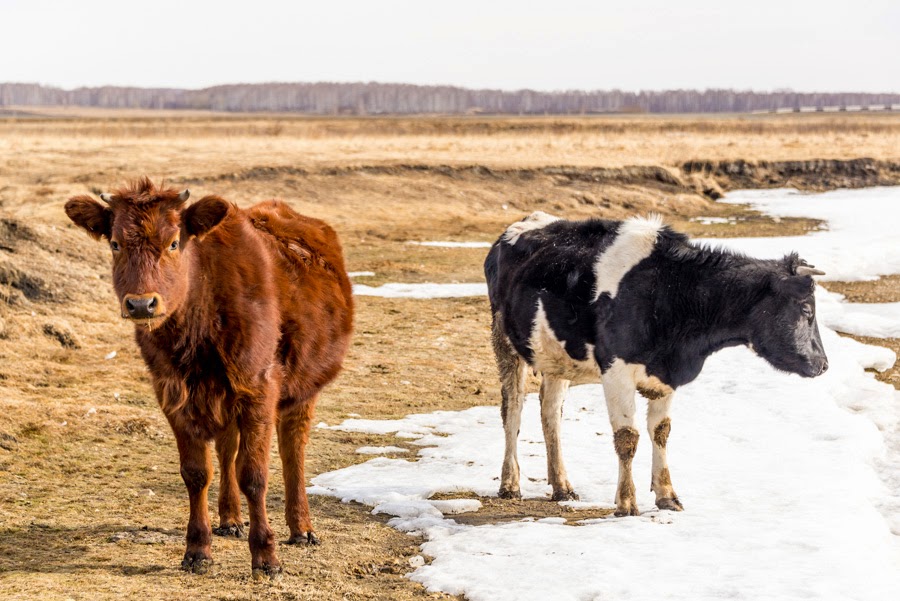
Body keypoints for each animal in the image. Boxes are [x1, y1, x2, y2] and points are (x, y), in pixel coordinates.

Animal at [62, 178, 352, 576]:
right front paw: (198, 549)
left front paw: (266, 555)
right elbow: (198, 472)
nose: (141, 304)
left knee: (293, 449)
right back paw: (229, 519)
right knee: (227, 448)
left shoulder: (258, 388)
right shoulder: (172, 393)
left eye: (173, 242)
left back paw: (301, 529)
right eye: (115, 243)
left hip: (302, 391)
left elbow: (254, 475)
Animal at [486, 212, 828, 516]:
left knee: (550, 413)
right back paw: (510, 483)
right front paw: (626, 502)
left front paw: (667, 495)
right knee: (512, 408)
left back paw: (562, 487)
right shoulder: (616, 371)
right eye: (806, 310)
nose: (824, 364)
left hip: (556, 355)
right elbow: (627, 437)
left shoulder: (667, 376)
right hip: (504, 339)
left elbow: (661, 432)